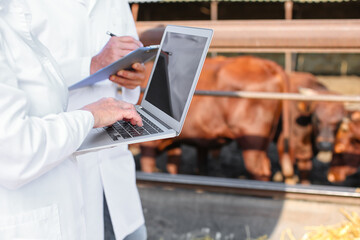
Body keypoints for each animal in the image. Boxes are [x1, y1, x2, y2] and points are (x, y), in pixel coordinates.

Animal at [139, 55, 286, 181]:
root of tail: (268, 65)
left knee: (260, 170)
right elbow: (174, 167)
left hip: (252, 141)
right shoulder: (175, 143)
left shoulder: (148, 146)